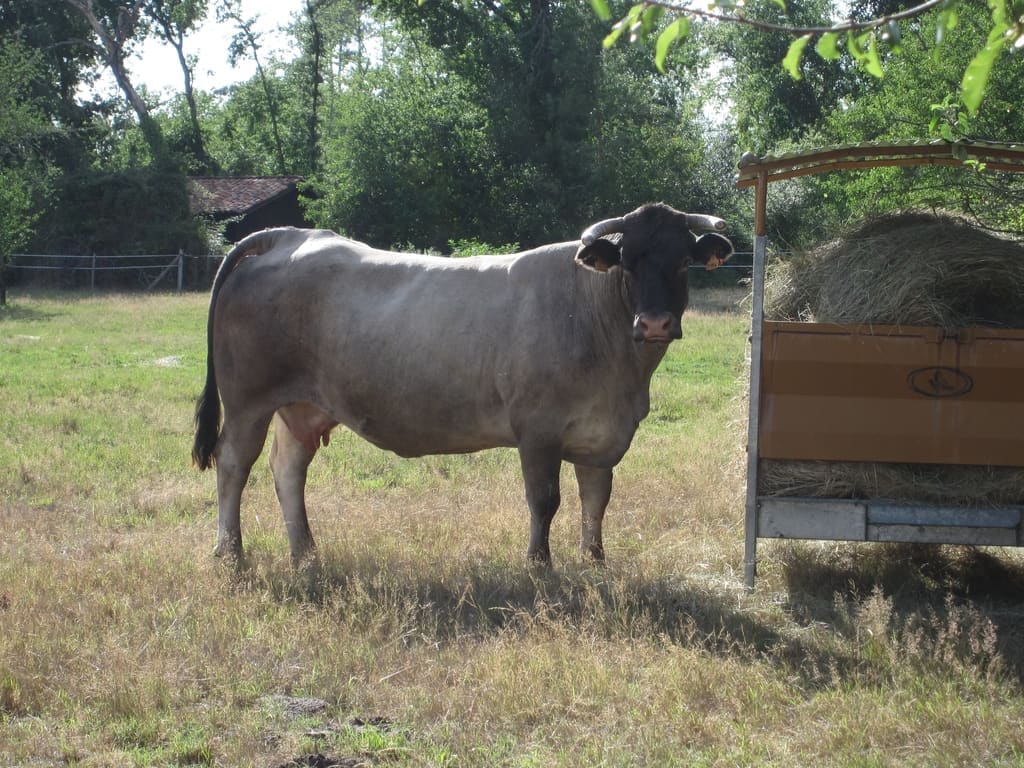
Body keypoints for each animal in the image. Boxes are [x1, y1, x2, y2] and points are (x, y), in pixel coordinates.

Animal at [192, 203, 733, 566]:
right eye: (629, 260)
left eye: (682, 262)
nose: (656, 322)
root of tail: (290, 236)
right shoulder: (538, 430)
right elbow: (545, 500)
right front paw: (540, 567)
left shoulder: (602, 435)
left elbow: (595, 500)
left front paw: (594, 563)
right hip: (247, 400)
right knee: (233, 465)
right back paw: (231, 554)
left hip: (301, 405)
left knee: (288, 470)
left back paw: (305, 554)